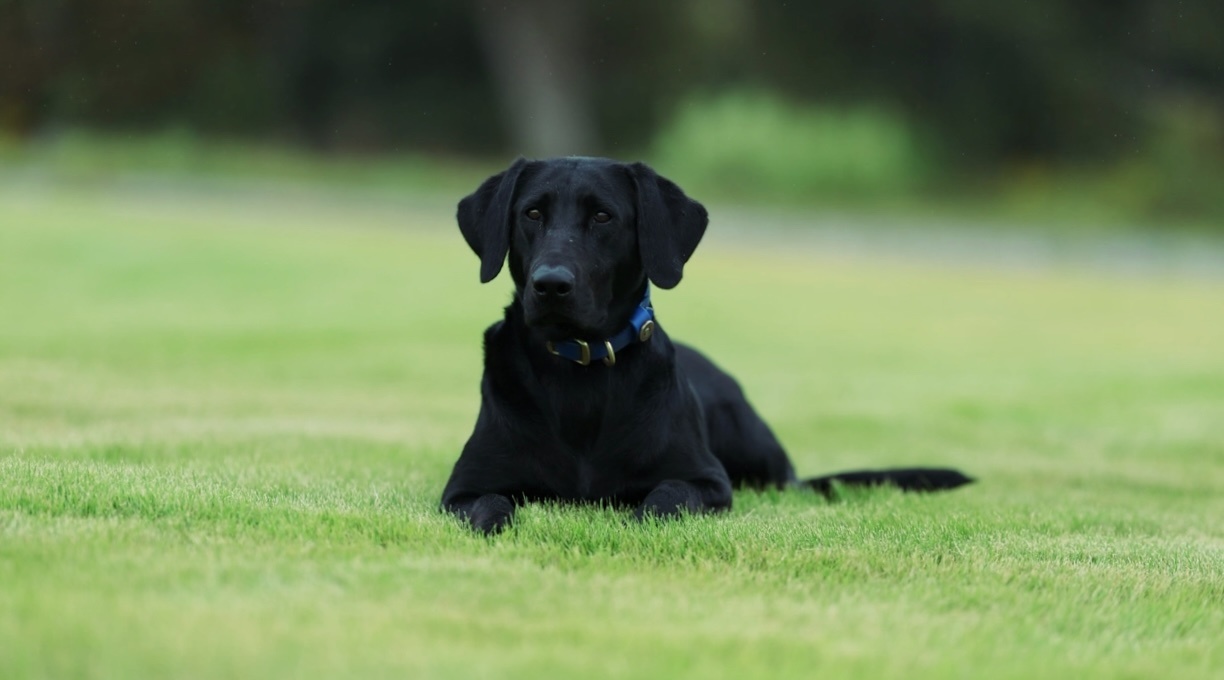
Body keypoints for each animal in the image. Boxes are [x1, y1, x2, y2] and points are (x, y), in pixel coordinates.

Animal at [443, 156, 974, 533]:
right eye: (532, 213)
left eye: (603, 216)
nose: (551, 285)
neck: (579, 374)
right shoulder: (463, 488)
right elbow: (491, 504)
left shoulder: (707, 480)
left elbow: (666, 497)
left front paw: (636, 520)